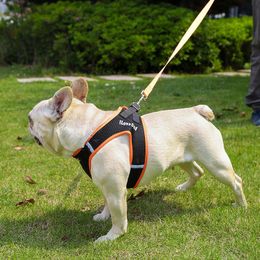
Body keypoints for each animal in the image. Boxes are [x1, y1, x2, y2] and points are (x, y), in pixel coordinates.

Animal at [28, 78, 248, 242]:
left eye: (31, 119)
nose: (27, 123)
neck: (89, 132)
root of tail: (196, 111)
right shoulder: (107, 185)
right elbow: (106, 203)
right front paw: (103, 215)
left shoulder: (115, 188)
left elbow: (118, 214)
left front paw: (112, 236)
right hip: (182, 158)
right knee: (197, 171)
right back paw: (183, 188)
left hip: (215, 162)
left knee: (235, 181)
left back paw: (241, 205)